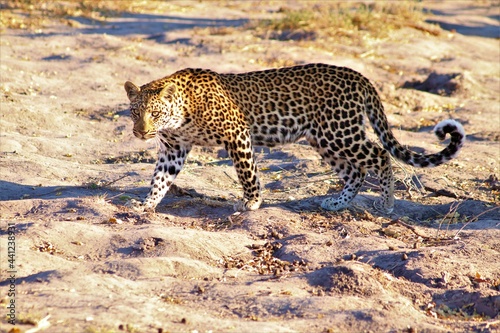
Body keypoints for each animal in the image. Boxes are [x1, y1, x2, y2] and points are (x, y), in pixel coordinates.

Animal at [124, 63, 464, 213]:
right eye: (134, 112)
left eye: (155, 113)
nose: (140, 131)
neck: (181, 115)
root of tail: (359, 76)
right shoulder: (173, 149)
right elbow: (160, 179)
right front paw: (146, 204)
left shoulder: (238, 133)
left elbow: (247, 173)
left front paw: (252, 202)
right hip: (324, 140)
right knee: (355, 171)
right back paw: (337, 202)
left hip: (339, 132)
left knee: (378, 155)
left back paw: (387, 202)